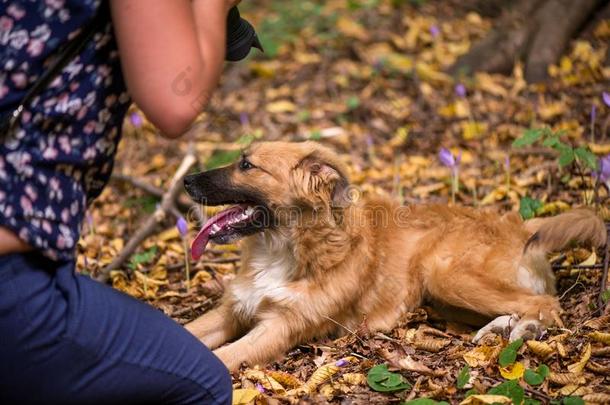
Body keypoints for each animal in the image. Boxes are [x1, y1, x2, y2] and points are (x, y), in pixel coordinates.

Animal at [183, 141, 604, 370]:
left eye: (247, 165)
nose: (185, 180)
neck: (284, 248)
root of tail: (520, 225)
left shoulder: (281, 327)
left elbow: (222, 358)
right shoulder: (232, 309)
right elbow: (189, 334)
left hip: (443, 273)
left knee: (546, 304)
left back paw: (525, 330)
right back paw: (501, 328)